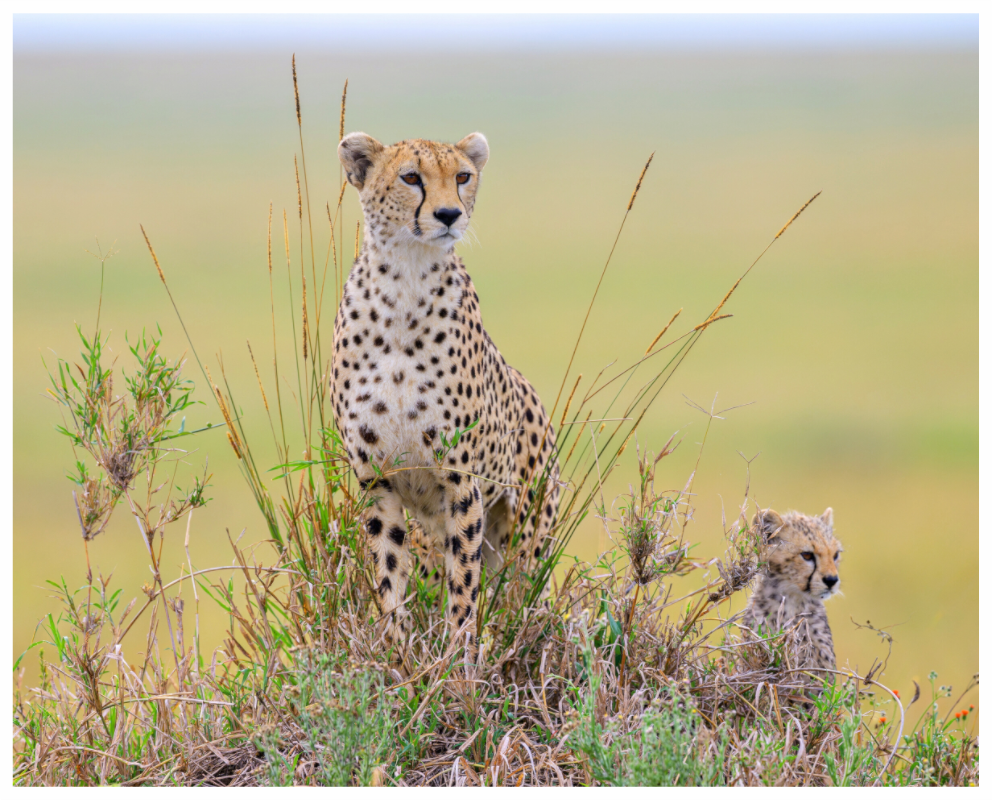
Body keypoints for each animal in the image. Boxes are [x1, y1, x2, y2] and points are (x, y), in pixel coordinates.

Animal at [332, 131, 560, 660]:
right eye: (411, 177)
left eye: (462, 176)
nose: (449, 214)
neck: (405, 283)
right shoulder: (379, 482)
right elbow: (389, 578)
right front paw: (397, 657)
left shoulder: (462, 482)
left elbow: (465, 583)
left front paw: (459, 659)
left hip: (527, 531)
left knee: (521, 597)